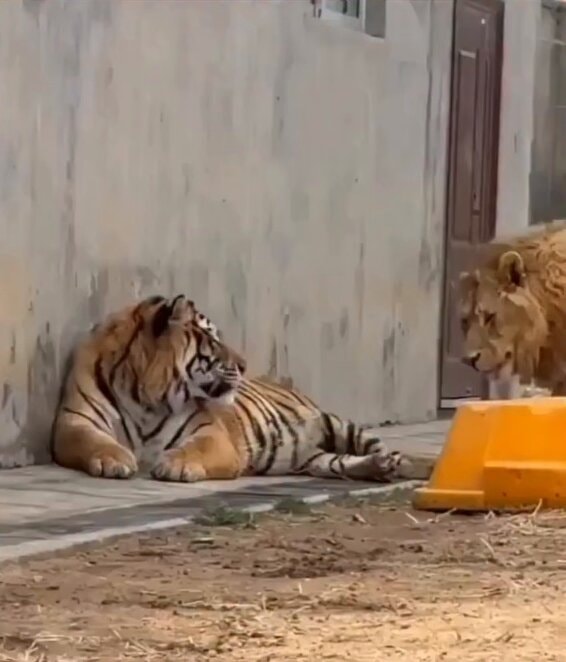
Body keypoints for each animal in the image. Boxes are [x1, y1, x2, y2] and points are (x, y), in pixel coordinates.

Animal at [52, 294, 413, 483]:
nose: (243, 364)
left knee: (377, 445)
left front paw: (175, 465)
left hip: (335, 422)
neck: (146, 397)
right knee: (337, 463)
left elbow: (196, 448)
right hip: (317, 458)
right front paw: (115, 460)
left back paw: (397, 463)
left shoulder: (212, 433)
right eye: (212, 340)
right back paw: (379, 468)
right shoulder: (74, 421)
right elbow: (93, 441)